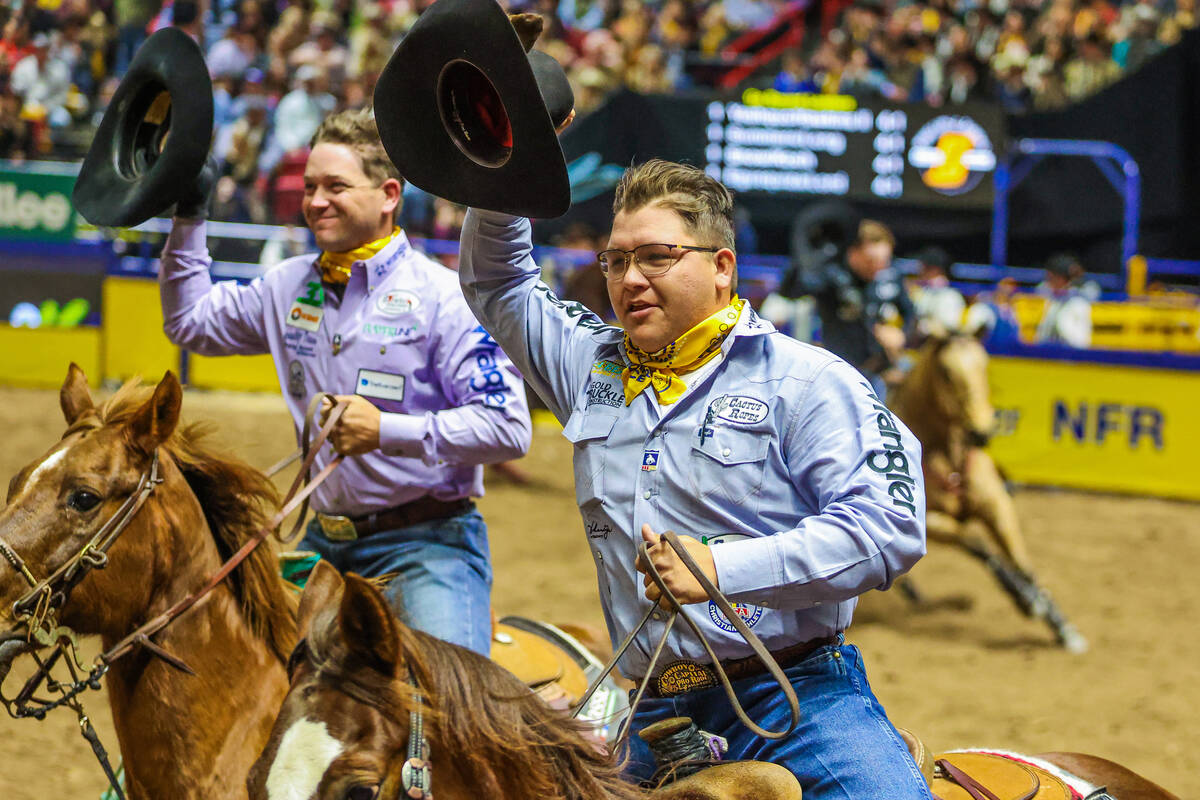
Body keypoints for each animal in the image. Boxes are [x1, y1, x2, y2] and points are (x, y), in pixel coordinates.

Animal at [892, 335, 1089, 652]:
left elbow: (1022, 562)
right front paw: (1026, 601)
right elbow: (981, 547)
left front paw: (1061, 625)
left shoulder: (996, 505)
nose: (981, 432)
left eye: (985, 367)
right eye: (946, 372)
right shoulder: (930, 522)